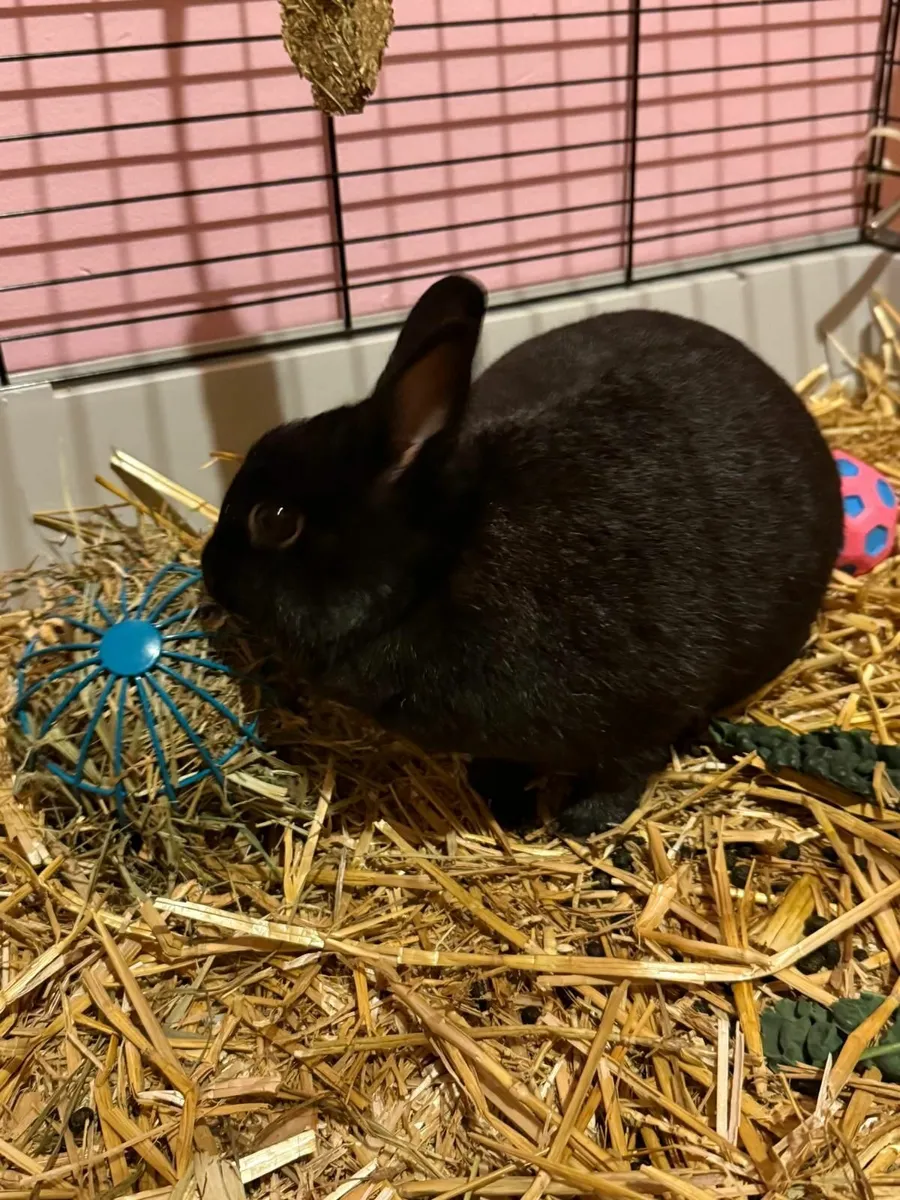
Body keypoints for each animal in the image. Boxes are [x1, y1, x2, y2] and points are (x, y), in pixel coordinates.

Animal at [201, 274, 843, 835]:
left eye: (275, 520)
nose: (209, 571)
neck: (440, 566)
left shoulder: (648, 708)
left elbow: (627, 770)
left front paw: (583, 822)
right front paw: (501, 798)